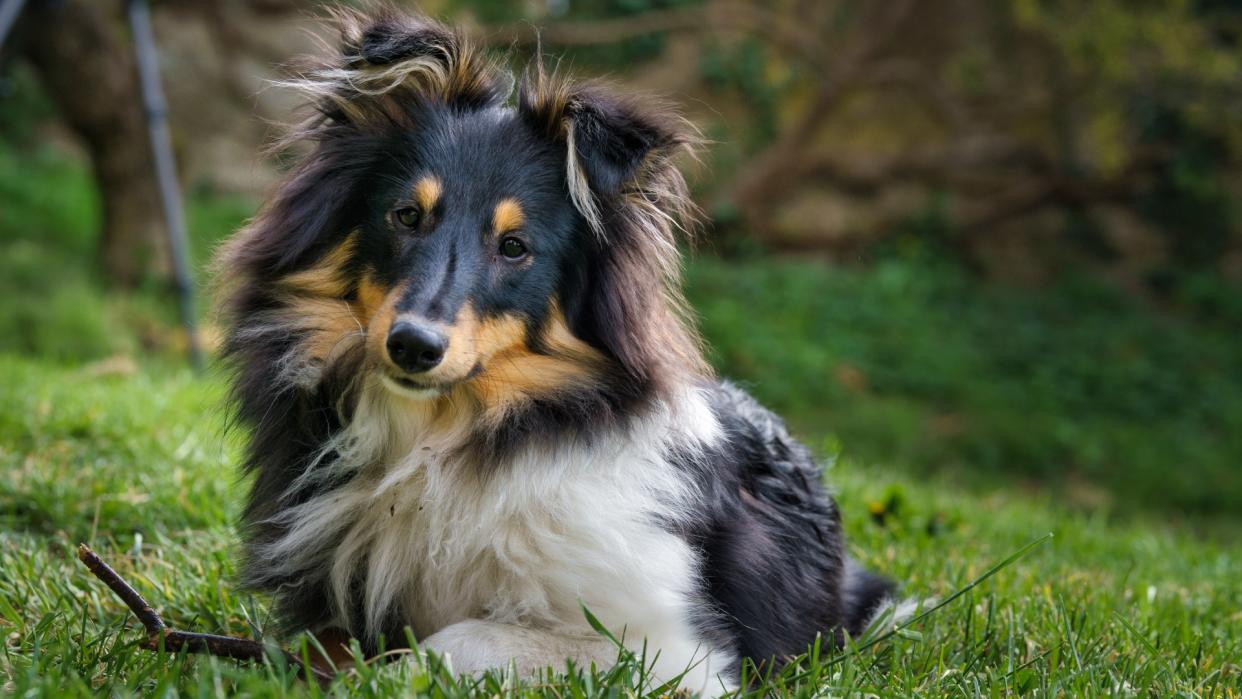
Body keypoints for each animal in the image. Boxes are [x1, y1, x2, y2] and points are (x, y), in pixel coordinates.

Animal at [213, 8, 899, 695]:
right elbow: (327, 643)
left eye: (515, 247)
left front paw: (392, 672)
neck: (442, 440)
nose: (412, 346)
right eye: (406, 215)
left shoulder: (679, 651)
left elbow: (462, 638)